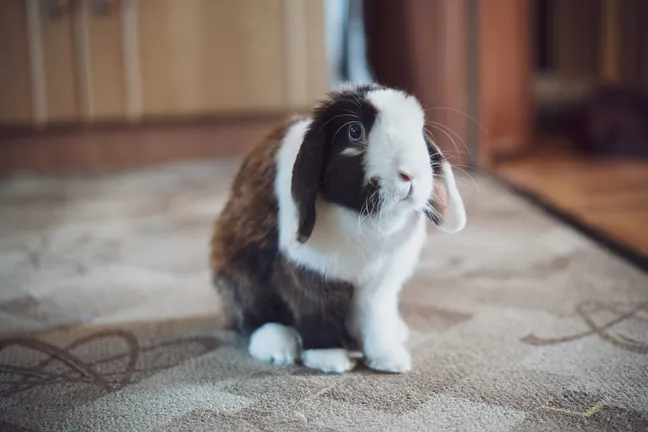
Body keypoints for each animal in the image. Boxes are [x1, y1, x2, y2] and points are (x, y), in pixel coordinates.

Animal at [210, 83, 466, 374]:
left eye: (420, 131)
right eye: (355, 132)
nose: (410, 174)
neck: (366, 219)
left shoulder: (380, 286)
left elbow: (375, 318)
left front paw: (390, 359)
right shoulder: (308, 272)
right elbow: (317, 310)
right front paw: (329, 360)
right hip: (241, 274)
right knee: (253, 317)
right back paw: (278, 347)